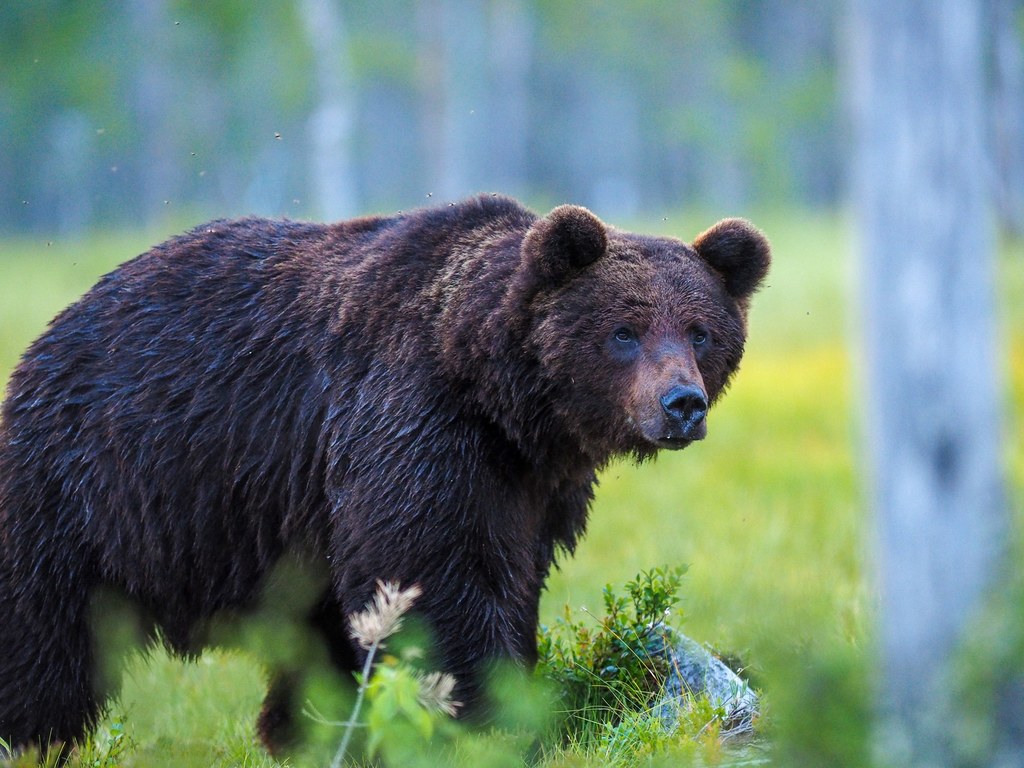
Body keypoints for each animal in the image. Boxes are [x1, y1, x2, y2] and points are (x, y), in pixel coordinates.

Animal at [0, 195, 770, 753]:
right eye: (624, 331)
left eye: (700, 330)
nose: (682, 404)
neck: (499, 393)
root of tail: (50, 334)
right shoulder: (415, 426)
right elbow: (436, 573)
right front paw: (489, 713)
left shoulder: (532, 485)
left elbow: (514, 575)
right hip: (82, 486)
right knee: (40, 639)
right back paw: (35, 736)